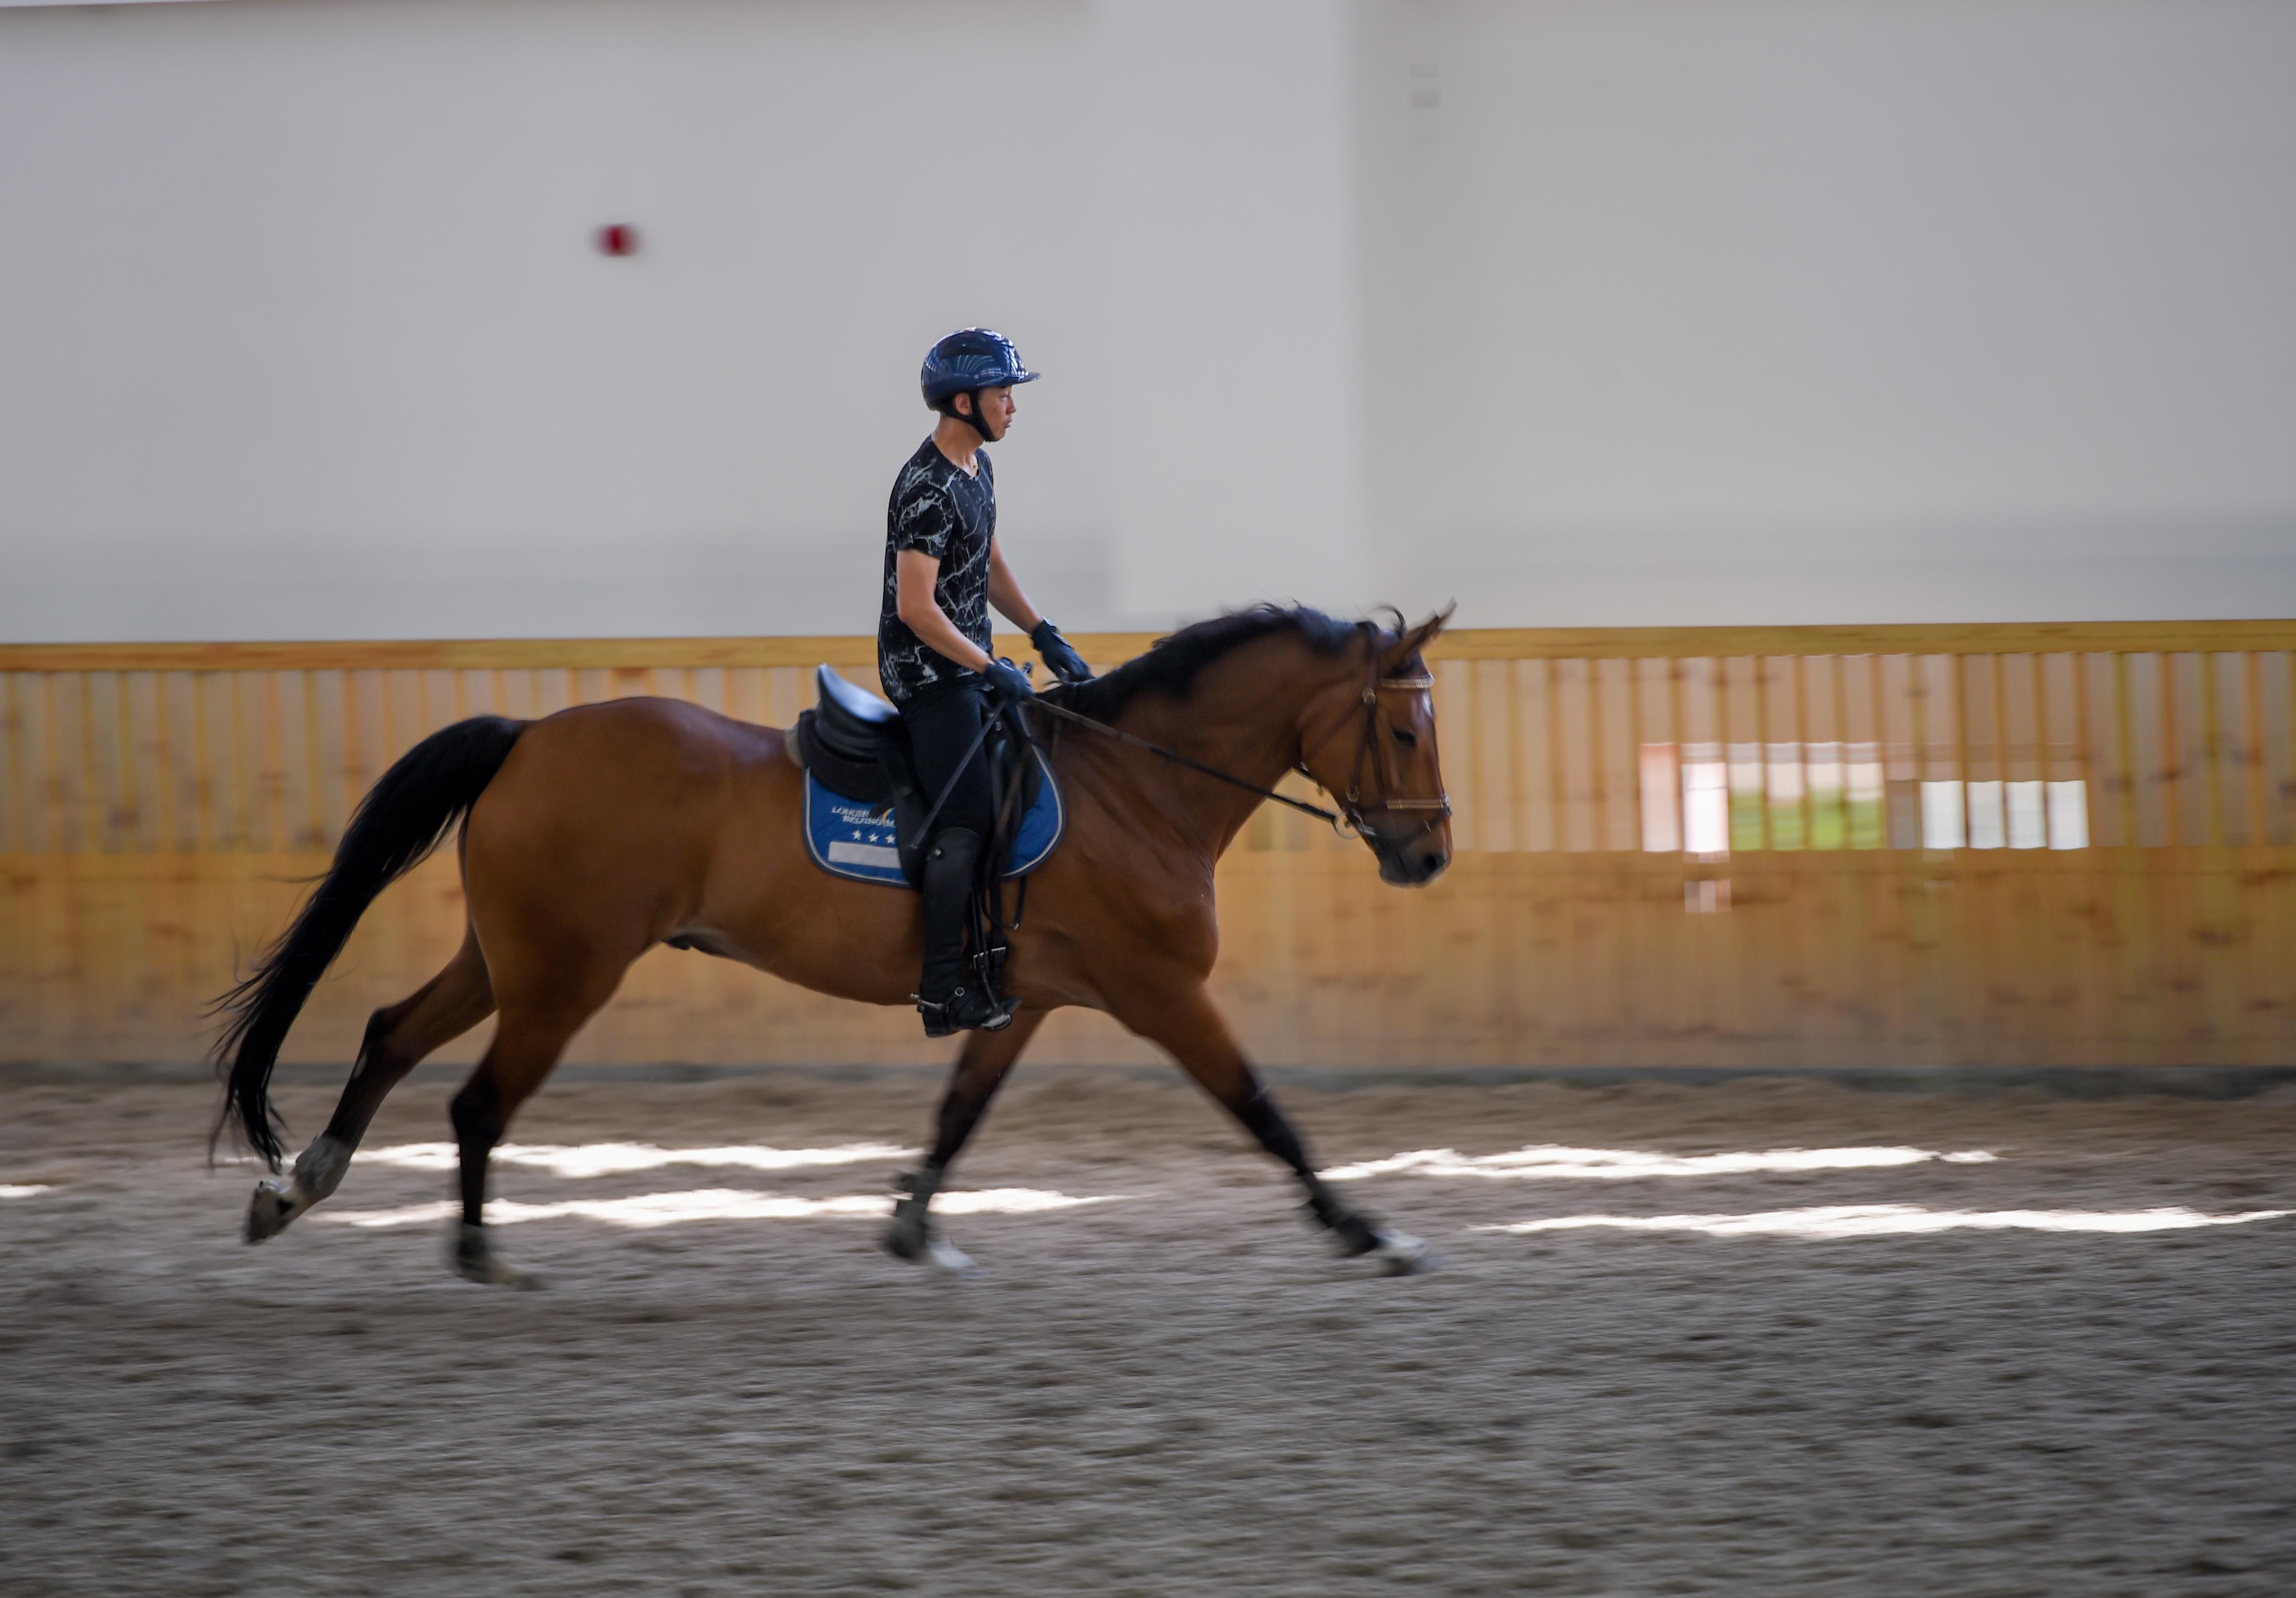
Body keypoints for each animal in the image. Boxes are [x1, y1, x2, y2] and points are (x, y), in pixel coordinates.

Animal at [219, 606, 1451, 1295]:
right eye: (1402, 728)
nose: (1430, 854)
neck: (1135, 784)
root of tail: (529, 738)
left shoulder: (1028, 999)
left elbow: (959, 1113)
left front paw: (915, 1230)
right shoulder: (1162, 992)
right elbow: (1264, 1111)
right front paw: (1370, 1233)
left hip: (510, 961)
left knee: (391, 1036)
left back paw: (298, 1188)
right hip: (564, 979)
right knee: (476, 1102)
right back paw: (479, 1253)